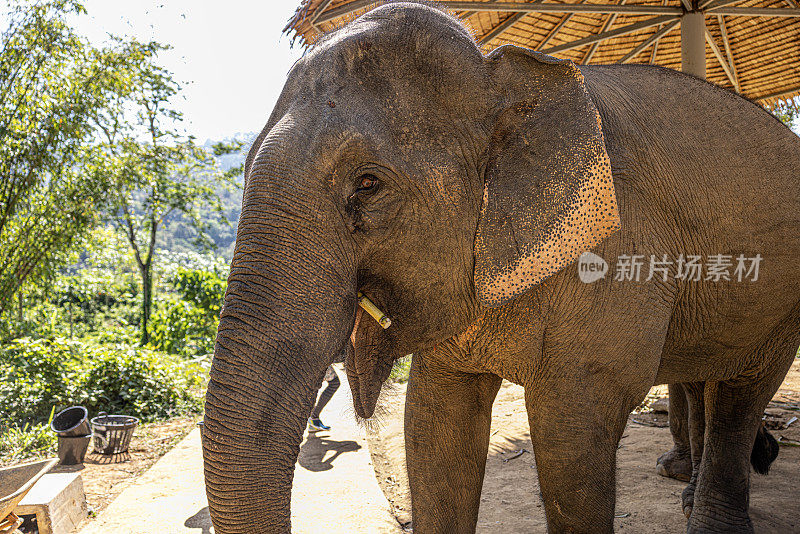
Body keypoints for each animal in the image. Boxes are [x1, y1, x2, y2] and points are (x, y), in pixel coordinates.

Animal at [202, 2, 800, 532]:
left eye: (367, 184)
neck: (503, 76)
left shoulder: (619, 251)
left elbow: (570, 437)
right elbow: (435, 421)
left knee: (743, 391)